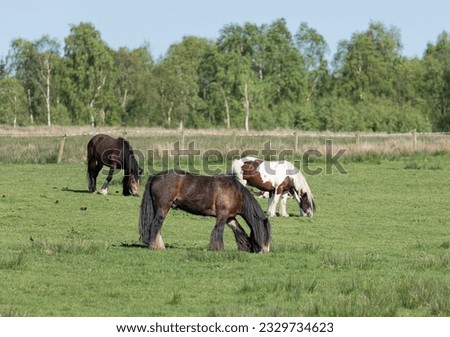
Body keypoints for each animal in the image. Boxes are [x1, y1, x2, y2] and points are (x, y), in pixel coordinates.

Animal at [139, 168, 270, 252]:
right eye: (266, 234)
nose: (266, 250)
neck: (236, 193)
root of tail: (156, 176)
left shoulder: (230, 217)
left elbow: (239, 230)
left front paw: (246, 247)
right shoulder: (222, 215)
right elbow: (218, 230)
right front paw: (218, 249)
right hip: (163, 207)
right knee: (156, 224)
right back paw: (157, 247)